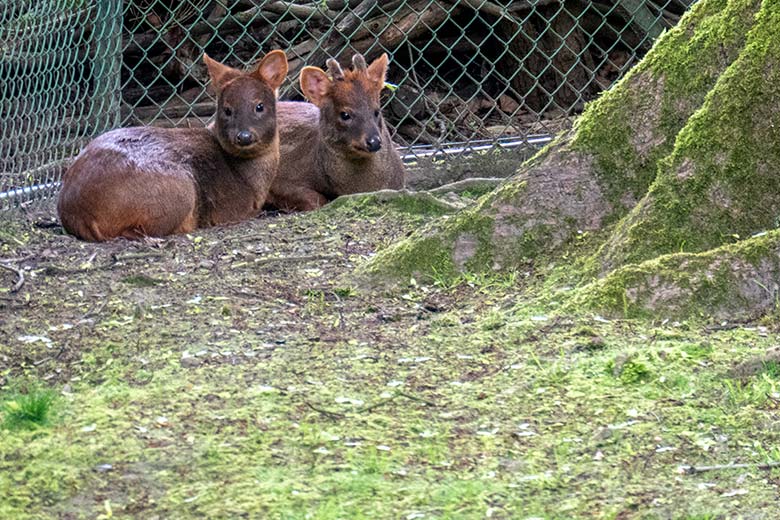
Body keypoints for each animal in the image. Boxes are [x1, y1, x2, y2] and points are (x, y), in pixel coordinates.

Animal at [58, 50, 290, 242]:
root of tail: (79, 215)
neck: (250, 182)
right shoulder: (232, 211)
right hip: (181, 189)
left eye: (259, 106)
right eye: (227, 109)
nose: (244, 136)